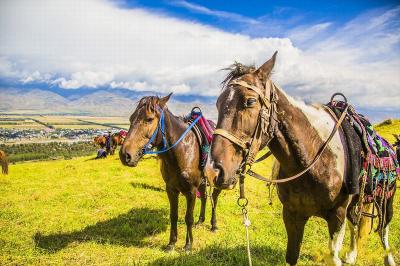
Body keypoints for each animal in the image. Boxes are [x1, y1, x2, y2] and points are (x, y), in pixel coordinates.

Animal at [119, 94, 222, 252]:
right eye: (131, 118)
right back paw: (200, 221)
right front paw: (171, 243)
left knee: (214, 199)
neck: (182, 152)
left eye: (149, 119)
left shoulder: (191, 191)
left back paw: (213, 225)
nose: (125, 155)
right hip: (202, 182)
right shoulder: (171, 189)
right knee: (205, 197)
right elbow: (173, 215)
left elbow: (188, 217)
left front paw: (188, 245)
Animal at [209, 51, 396, 264]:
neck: (313, 160)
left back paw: (388, 258)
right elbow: (292, 256)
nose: (213, 171)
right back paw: (351, 255)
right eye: (218, 103)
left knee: (383, 228)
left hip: (386, 198)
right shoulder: (292, 215)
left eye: (250, 101)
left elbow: (334, 257)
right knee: (355, 222)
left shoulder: (337, 216)